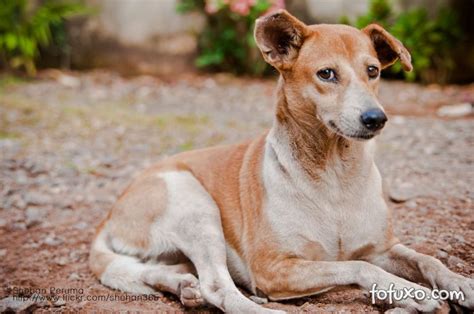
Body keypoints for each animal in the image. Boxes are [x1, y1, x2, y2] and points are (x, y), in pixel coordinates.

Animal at [90, 9, 474, 312]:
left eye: (373, 71)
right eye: (326, 74)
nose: (376, 119)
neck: (335, 173)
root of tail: (110, 213)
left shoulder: (383, 248)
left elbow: (427, 259)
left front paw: (460, 283)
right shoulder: (274, 268)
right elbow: (358, 267)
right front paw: (407, 292)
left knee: (167, 272)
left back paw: (184, 286)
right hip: (194, 204)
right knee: (218, 287)